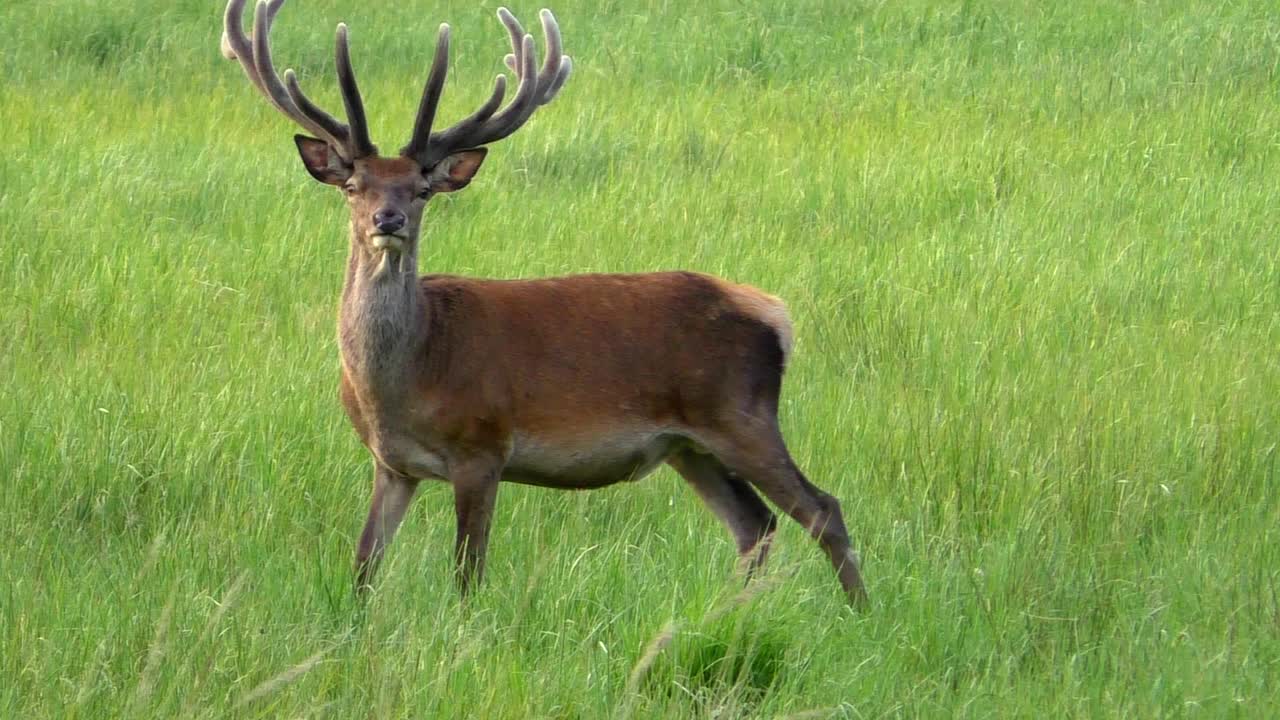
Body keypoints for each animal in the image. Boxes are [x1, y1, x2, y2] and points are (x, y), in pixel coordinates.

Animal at [221, 0, 867, 606]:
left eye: (421, 189)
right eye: (354, 186)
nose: (389, 219)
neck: (407, 375)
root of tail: (776, 315)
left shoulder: (482, 447)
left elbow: (468, 572)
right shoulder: (392, 465)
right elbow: (363, 565)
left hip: (740, 412)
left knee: (822, 509)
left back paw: (859, 613)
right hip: (690, 445)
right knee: (754, 524)